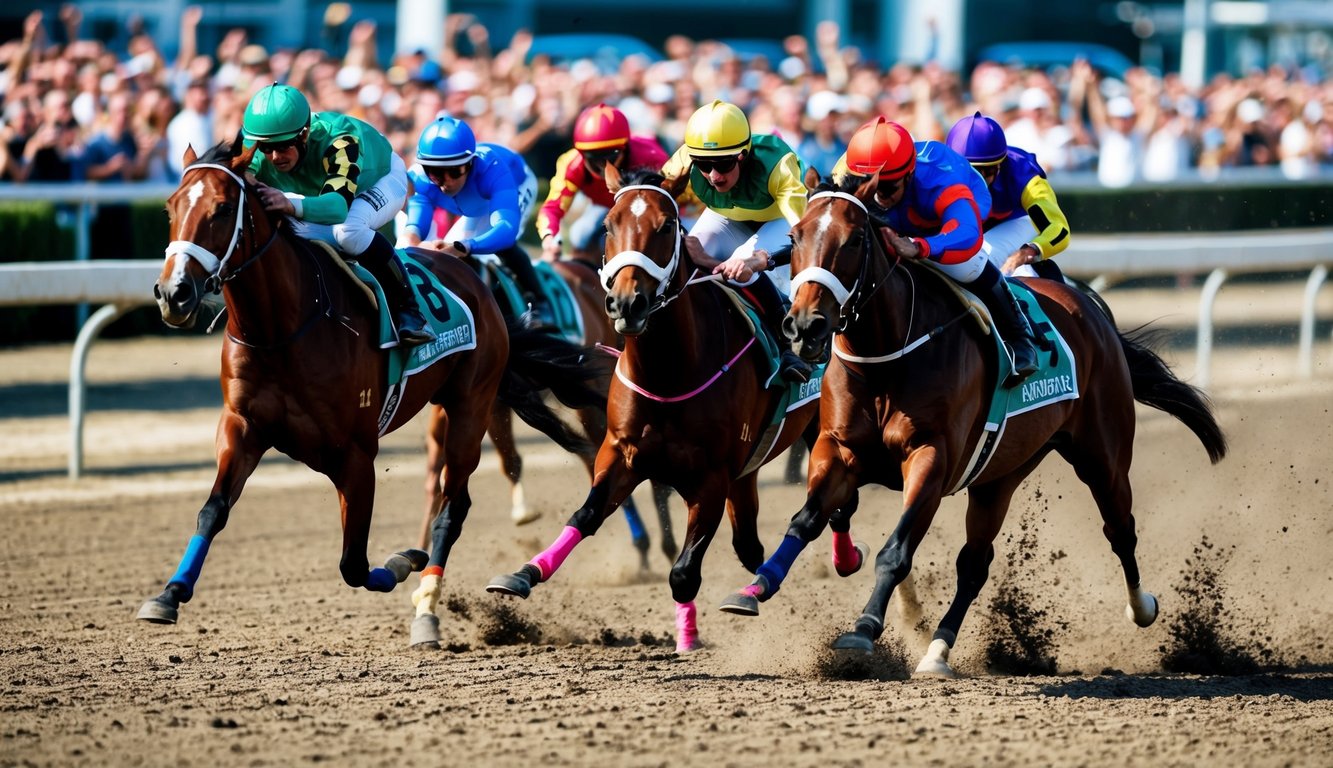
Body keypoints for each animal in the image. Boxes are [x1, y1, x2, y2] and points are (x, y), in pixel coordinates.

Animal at [137, 142, 602, 648]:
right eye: (170, 208)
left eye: (222, 209)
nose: (173, 294)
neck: (283, 329)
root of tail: (471, 275)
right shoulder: (243, 427)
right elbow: (213, 510)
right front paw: (168, 594)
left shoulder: (356, 454)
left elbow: (354, 564)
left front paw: (403, 562)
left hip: (471, 406)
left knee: (452, 510)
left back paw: (427, 610)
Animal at [490, 165, 821, 650]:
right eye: (609, 226)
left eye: (666, 226)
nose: (628, 303)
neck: (669, 371)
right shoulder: (621, 453)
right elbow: (586, 515)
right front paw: (524, 573)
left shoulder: (711, 478)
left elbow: (683, 572)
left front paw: (688, 637)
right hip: (747, 468)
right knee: (749, 545)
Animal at [725, 170, 1221, 674]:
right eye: (794, 236)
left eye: (855, 239)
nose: (804, 326)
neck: (886, 356)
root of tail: (1088, 307)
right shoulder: (840, 451)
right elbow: (804, 521)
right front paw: (755, 588)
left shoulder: (932, 458)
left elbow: (895, 552)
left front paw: (863, 628)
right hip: (1000, 474)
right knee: (975, 564)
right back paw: (937, 651)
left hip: (1102, 454)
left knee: (1120, 529)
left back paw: (1142, 607)